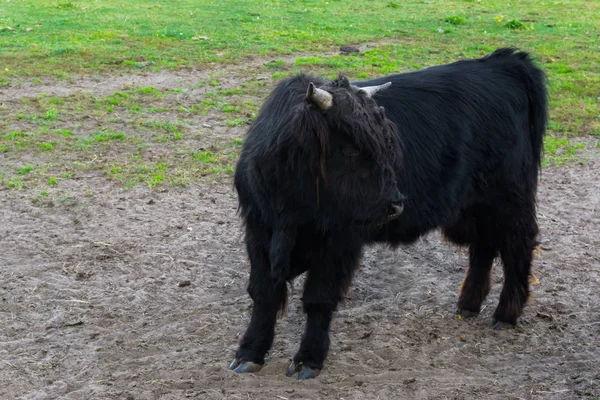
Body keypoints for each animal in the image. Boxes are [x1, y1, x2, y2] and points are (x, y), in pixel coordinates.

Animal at [230, 48, 548, 380]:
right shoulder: (258, 233)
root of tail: (503, 62)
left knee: (518, 247)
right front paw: (250, 352)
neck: (291, 210)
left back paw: (506, 314)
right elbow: (264, 294)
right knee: (484, 247)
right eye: (350, 150)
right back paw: (468, 305)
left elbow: (319, 298)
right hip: (476, 205)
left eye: (386, 144)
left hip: (510, 198)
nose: (396, 204)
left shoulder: (339, 241)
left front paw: (309, 359)